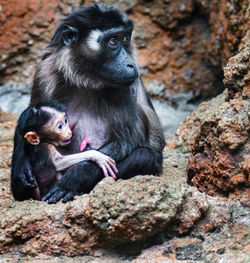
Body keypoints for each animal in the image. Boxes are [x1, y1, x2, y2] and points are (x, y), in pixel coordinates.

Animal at [27, 5, 164, 204]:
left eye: (125, 39)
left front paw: (76, 179)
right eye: (113, 41)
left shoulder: (125, 85)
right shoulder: (45, 71)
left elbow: (129, 139)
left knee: (144, 156)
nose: (130, 64)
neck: (86, 79)